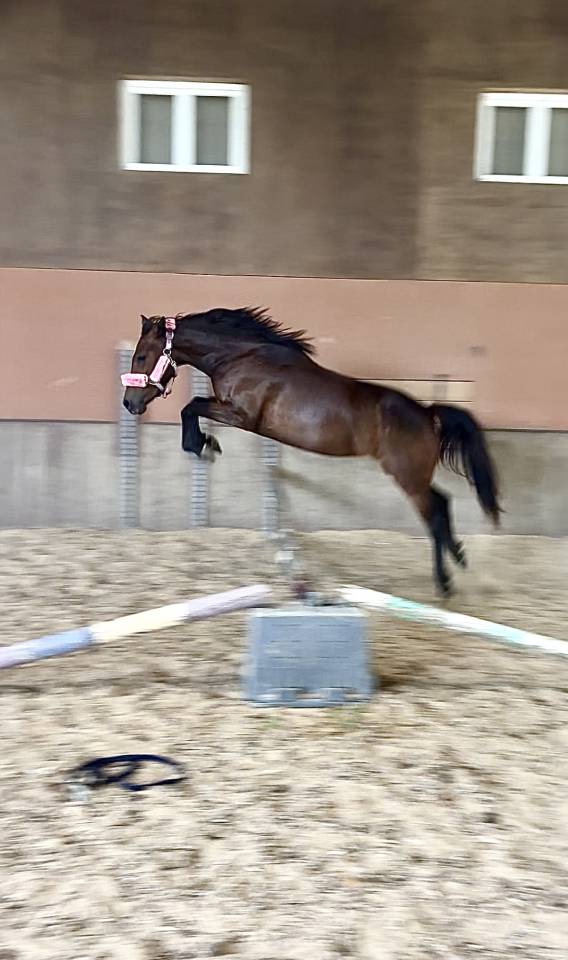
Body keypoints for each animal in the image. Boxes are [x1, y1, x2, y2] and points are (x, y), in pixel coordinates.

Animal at [122, 307, 501, 595]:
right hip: (415, 477)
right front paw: (205, 444)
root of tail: (428, 415)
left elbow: (192, 406)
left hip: (408, 478)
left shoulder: (240, 415)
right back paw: (459, 557)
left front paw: (203, 445)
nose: (130, 403)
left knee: (434, 514)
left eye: (141, 356)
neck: (242, 356)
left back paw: (445, 581)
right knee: (443, 504)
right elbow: (193, 406)